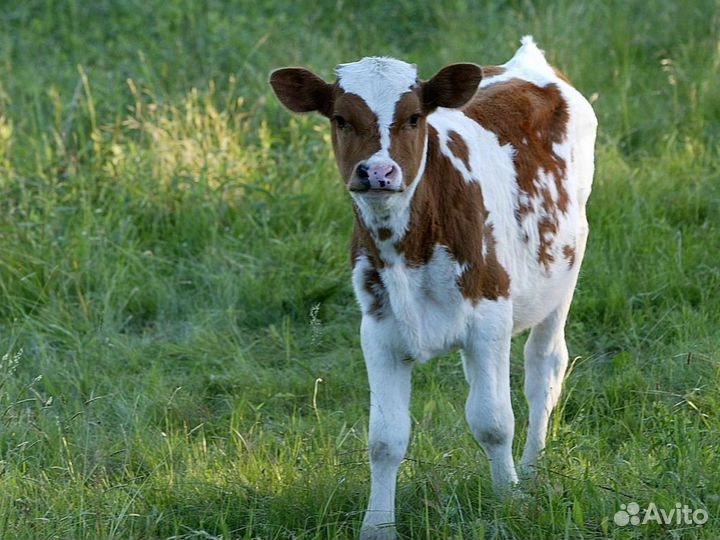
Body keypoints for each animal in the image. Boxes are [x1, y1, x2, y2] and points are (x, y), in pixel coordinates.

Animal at [270, 35, 596, 536]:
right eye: (341, 118)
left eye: (413, 117)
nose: (378, 173)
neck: (409, 247)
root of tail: (530, 61)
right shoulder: (378, 331)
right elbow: (385, 439)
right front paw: (377, 526)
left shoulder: (490, 318)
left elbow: (493, 421)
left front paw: (509, 501)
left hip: (564, 272)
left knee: (545, 368)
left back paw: (533, 471)